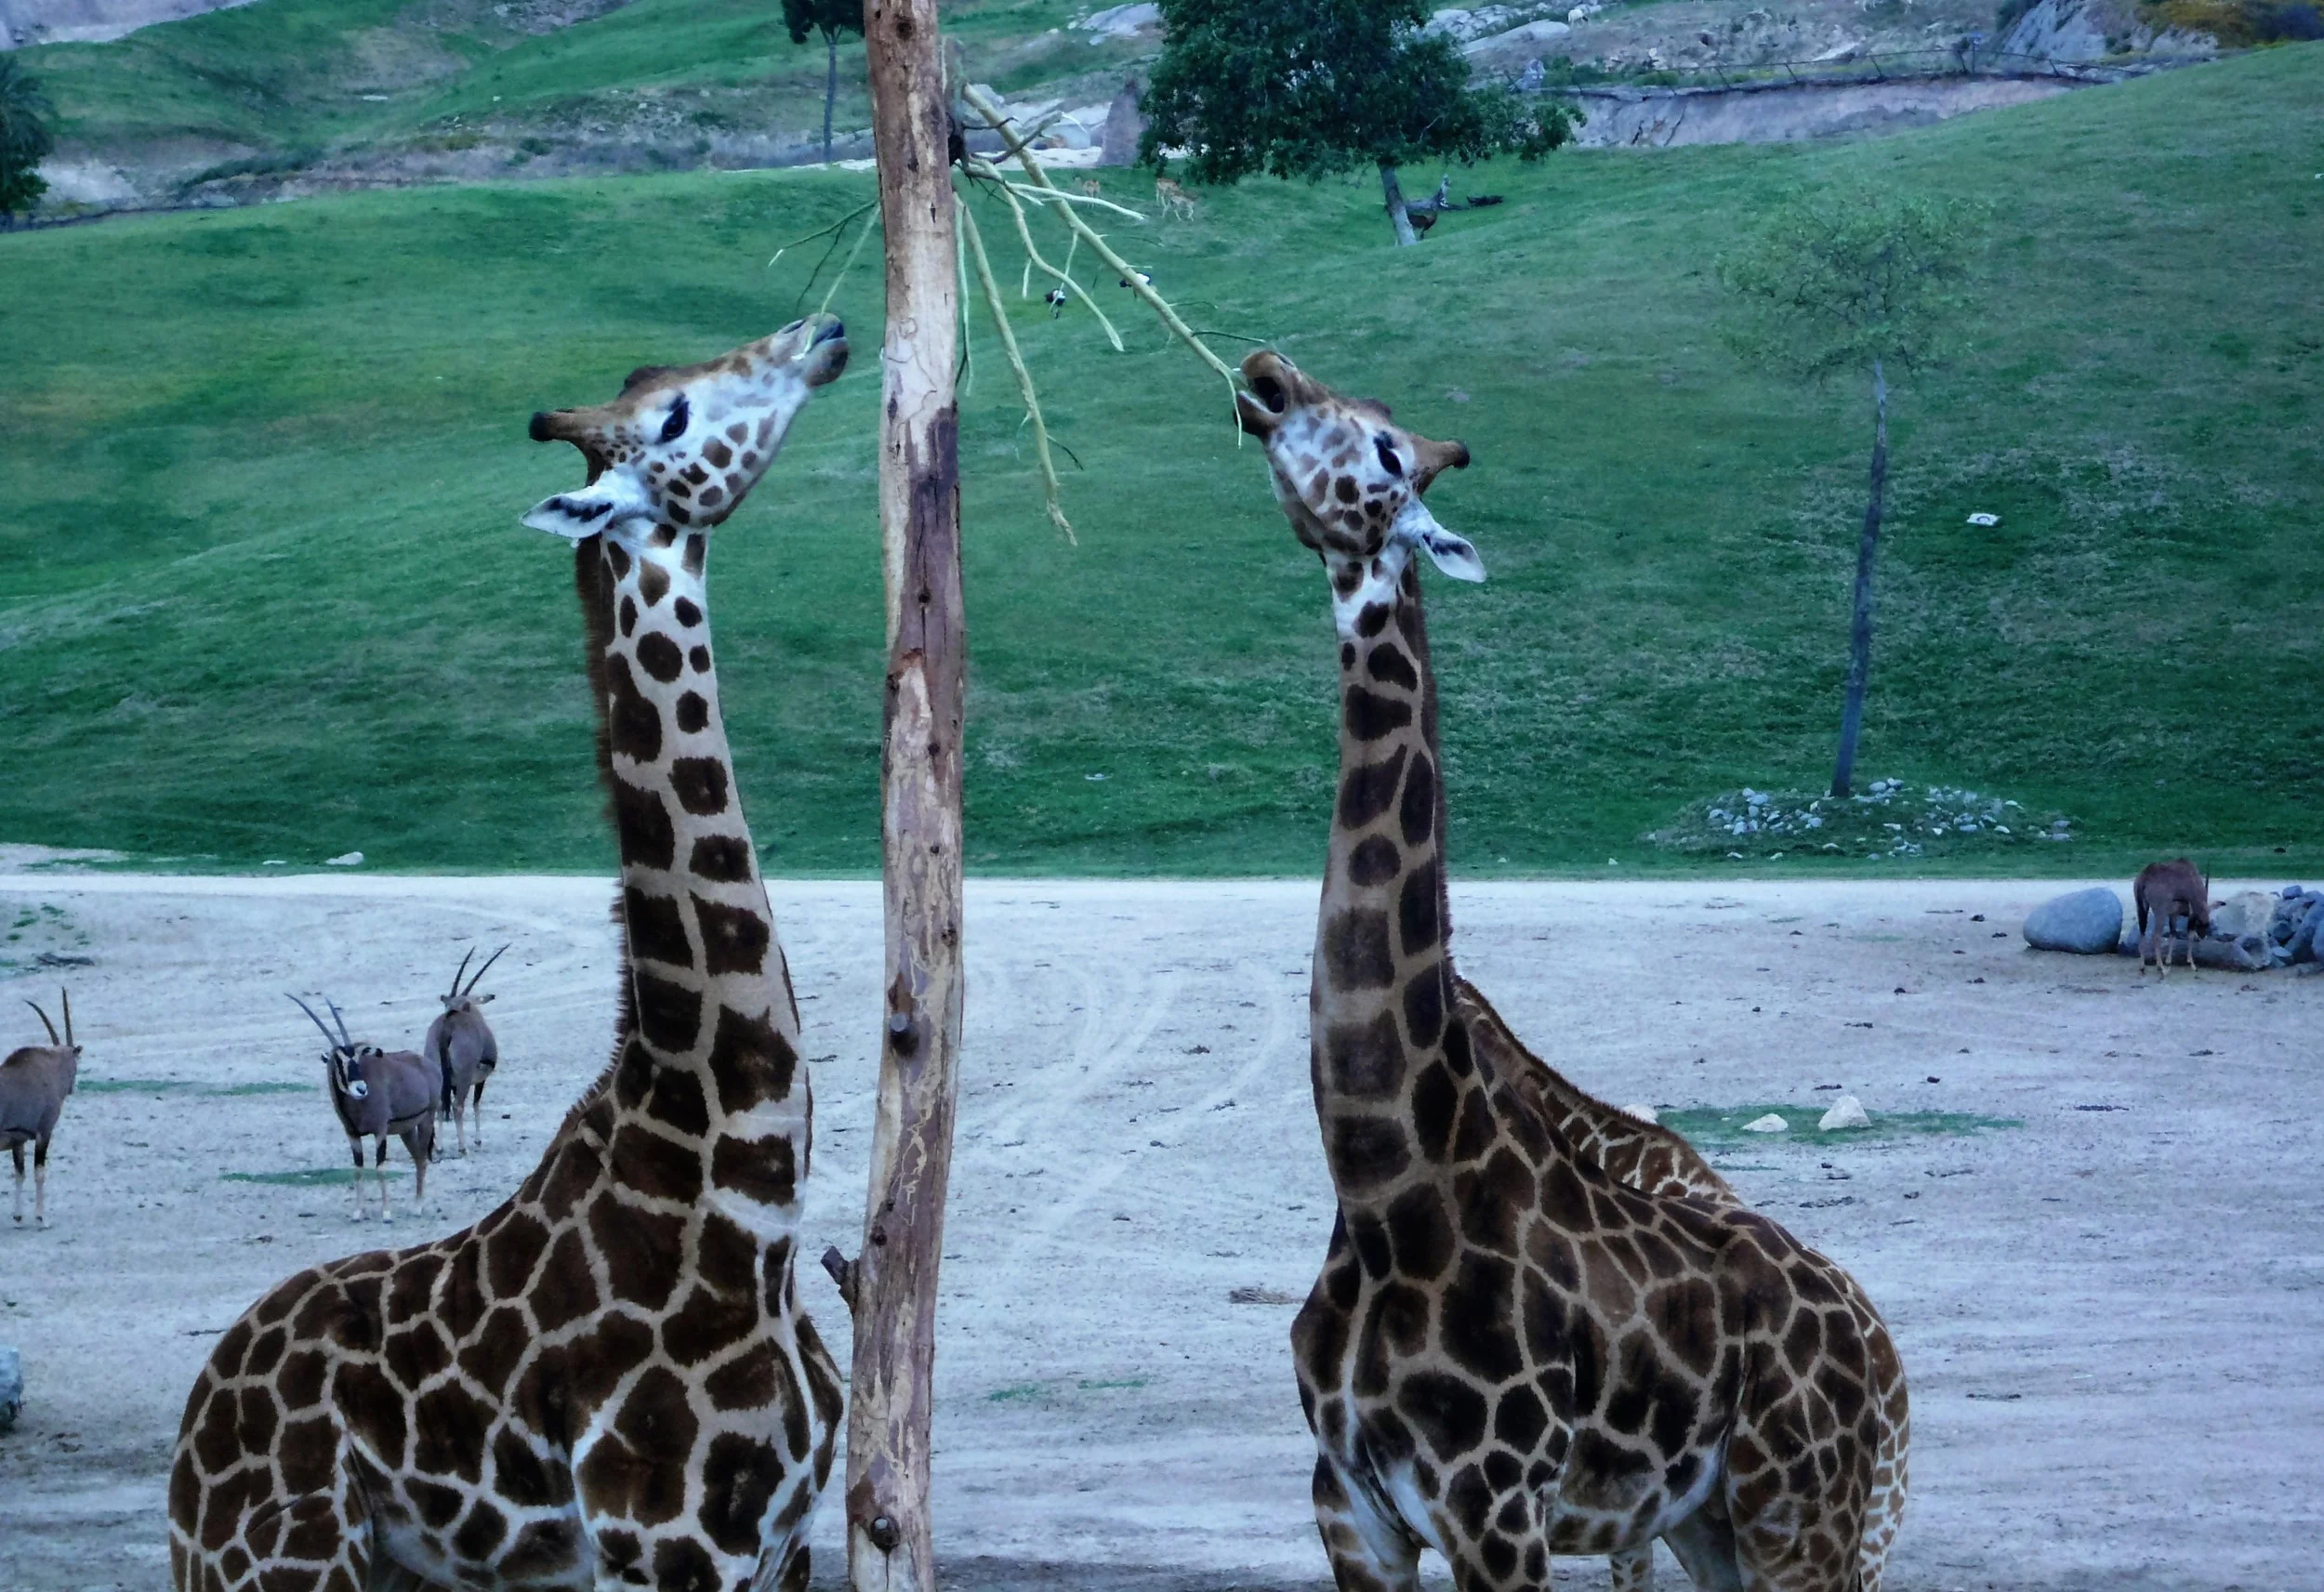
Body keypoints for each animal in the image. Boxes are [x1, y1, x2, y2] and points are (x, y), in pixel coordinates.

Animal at [167, 315, 852, 1592]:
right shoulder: (672, 1547)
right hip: (282, 1565)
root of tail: (187, 1428)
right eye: (673, 417)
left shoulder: (787, 1541)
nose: (819, 332)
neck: (748, 1210)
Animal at [1234, 350, 1908, 1592]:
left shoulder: (1497, 1510)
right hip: (1713, 1524)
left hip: (1805, 1519)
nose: (1265, 376)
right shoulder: (1351, 1510)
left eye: (1388, 449)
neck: (1386, 1189)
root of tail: (1876, 1343)